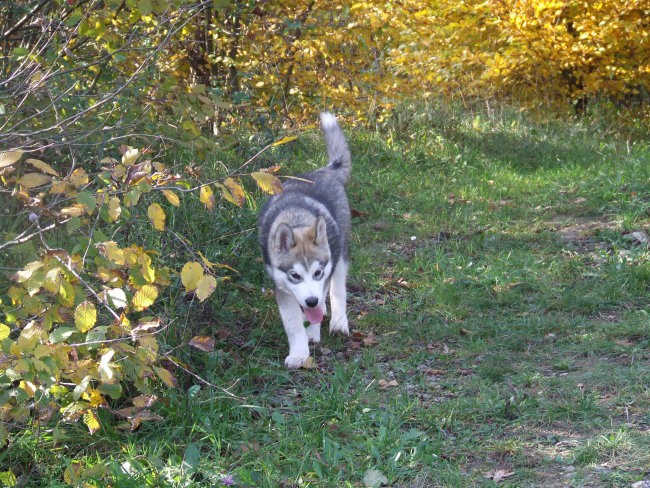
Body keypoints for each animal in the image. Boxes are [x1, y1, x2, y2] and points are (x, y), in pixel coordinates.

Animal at [256, 112, 352, 368]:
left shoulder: (325, 275)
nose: (310, 301)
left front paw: (312, 333)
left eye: (317, 272)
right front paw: (299, 352)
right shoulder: (282, 287)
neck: (297, 218)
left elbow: (318, 307)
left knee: (337, 289)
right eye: (295, 275)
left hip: (340, 253)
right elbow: (293, 323)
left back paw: (339, 321)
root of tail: (323, 171)